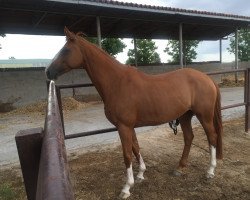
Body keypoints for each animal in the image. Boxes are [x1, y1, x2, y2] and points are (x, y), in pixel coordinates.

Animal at [45, 27, 223, 199]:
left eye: (66, 50)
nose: (48, 72)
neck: (117, 82)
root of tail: (207, 79)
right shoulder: (129, 126)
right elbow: (136, 147)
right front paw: (141, 173)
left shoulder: (124, 126)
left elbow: (127, 154)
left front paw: (126, 188)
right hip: (185, 115)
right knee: (189, 137)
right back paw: (179, 167)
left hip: (204, 115)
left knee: (212, 137)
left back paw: (210, 171)